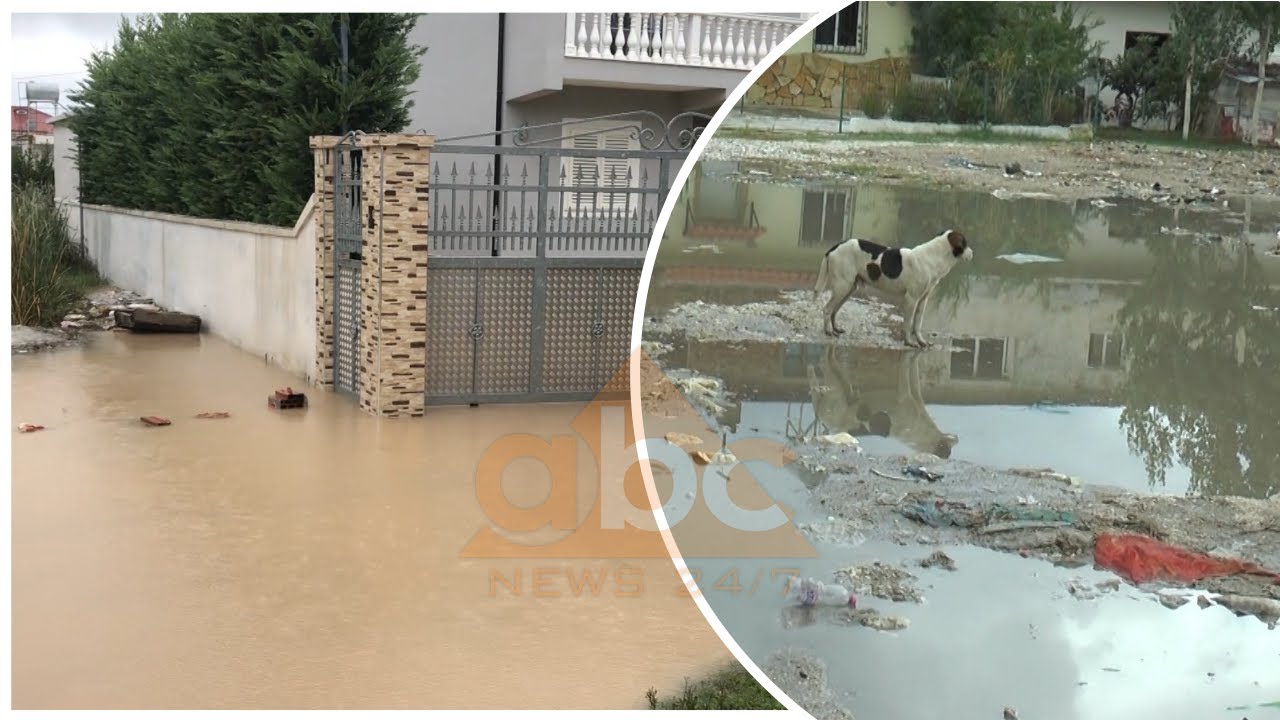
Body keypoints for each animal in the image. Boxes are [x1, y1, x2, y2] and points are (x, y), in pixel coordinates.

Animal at [814, 226, 972, 345]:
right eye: (965, 243)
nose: (972, 253)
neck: (934, 257)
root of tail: (835, 246)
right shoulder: (911, 299)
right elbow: (908, 323)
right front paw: (909, 342)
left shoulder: (923, 300)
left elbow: (918, 323)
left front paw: (921, 341)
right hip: (843, 286)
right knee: (827, 309)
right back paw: (828, 331)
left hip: (849, 288)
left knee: (834, 310)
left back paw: (835, 328)